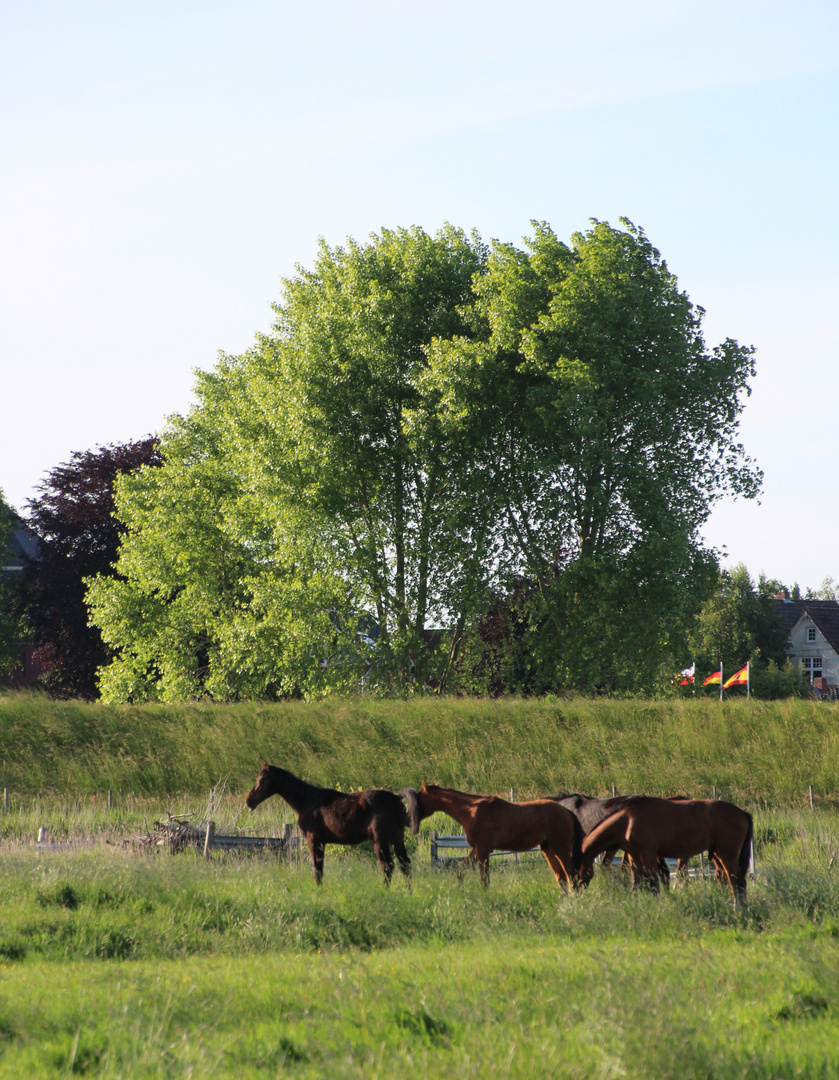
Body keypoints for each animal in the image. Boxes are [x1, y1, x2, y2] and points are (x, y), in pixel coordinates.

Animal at [244, 760, 410, 885]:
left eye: (262, 779)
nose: (248, 801)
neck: (306, 801)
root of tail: (397, 799)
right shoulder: (322, 842)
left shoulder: (314, 840)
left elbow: (317, 870)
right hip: (397, 839)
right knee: (405, 865)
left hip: (380, 841)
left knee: (388, 866)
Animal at [401, 781, 583, 889]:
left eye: (419, 798)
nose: (408, 820)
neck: (471, 811)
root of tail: (567, 812)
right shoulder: (477, 849)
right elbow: (461, 870)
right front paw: (461, 891)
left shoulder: (482, 850)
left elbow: (484, 879)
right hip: (548, 849)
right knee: (562, 877)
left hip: (560, 848)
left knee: (571, 875)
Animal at [574, 794, 751, 902]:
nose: (575, 889)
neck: (627, 820)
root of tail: (743, 812)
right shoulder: (635, 857)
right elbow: (637, 883)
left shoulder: (648, 855)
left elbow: (654, 884)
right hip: (718, 855)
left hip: (727, 855)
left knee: (734, 881)